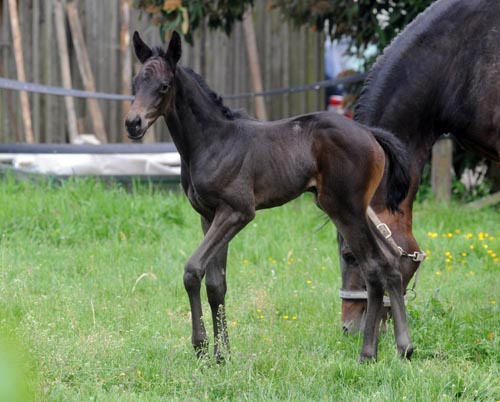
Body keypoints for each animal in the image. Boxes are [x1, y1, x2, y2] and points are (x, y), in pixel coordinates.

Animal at [127, 32, 412, 362]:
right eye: (135, 83)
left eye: (163, 86)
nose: (132, 123)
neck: (212, 142)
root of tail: (369, 133)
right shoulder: (209, 216)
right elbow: (216, 284)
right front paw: (222, 355)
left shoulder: (237, 212)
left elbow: (193, 270)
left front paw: (200, 347)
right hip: (360, 210)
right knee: (391, 261)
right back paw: (404, 347)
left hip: (345, 210)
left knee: (374, 268)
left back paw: (368, 354)